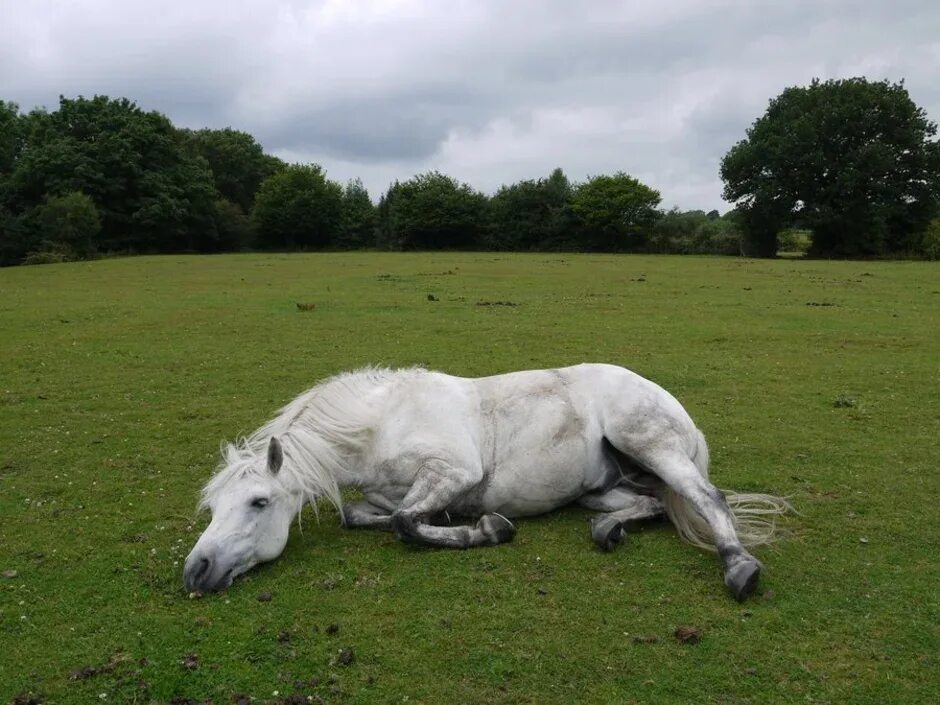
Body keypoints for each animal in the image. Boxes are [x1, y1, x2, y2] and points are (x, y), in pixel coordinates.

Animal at [182, 364, 784, 600]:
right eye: (213, 507)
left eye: (259, 502)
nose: (196, 570)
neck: (381, 423)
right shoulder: (389, 494)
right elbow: (364, 515)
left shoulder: (452, 471)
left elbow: (406, 523)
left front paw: (490, 528)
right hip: (605, 485)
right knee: (654, 504)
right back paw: (608, 530)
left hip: (649, 442)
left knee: (705, 497)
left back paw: (739, 568)